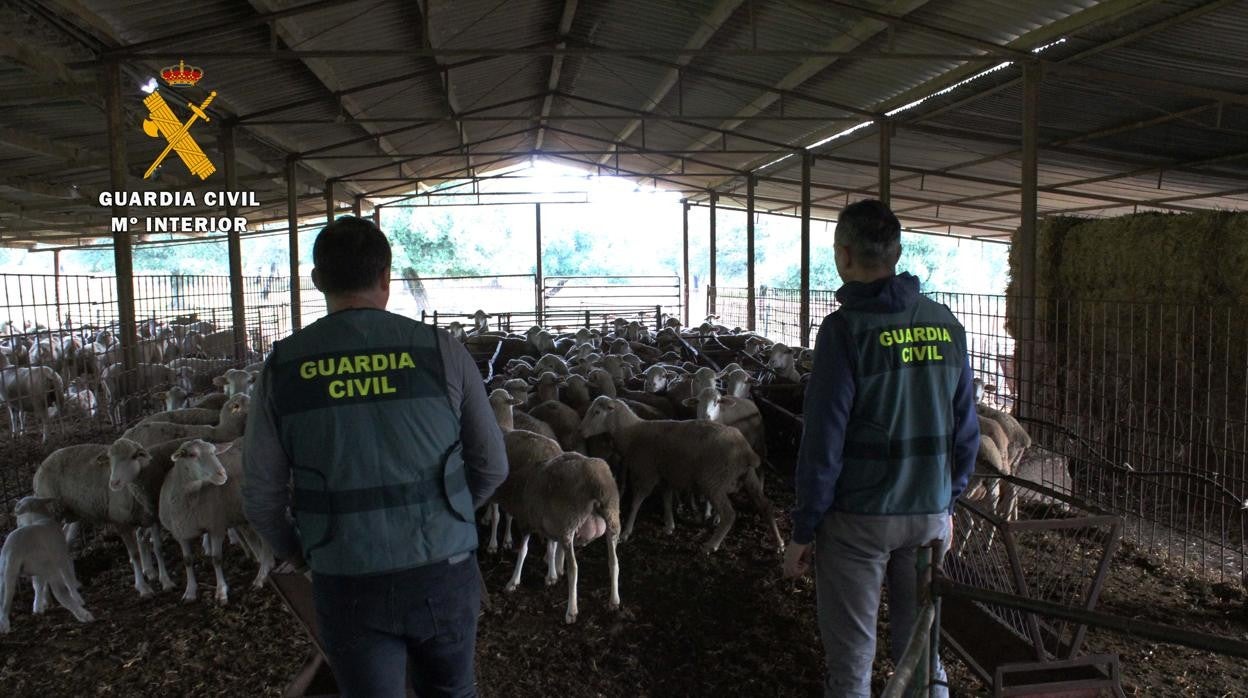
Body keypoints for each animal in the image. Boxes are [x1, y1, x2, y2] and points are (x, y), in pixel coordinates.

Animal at [0, 496, 92, 634]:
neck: (36, 516)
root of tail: (15, 549)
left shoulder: (37, 571)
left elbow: (38, 585)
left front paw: (38, 607)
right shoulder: (61, 557)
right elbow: (69, 578)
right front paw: (77, 594)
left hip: (7, 573)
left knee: (4, 601)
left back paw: (4, 625)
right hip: (49, 566)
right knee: (61, 593)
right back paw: (83, 614)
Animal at [576, 399, 778, 551]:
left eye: (596, 412)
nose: (580, 431)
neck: (632, 433)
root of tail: (746, 451)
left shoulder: (647, 473)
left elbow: (636, 502)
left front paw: (626, 532)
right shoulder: (666, 474)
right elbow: (666, 498)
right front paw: (669, 525)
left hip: (714, 481)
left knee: (729, 514)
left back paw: (711, 545)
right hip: (747, 477)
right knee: (766, 506)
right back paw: (779, 543)